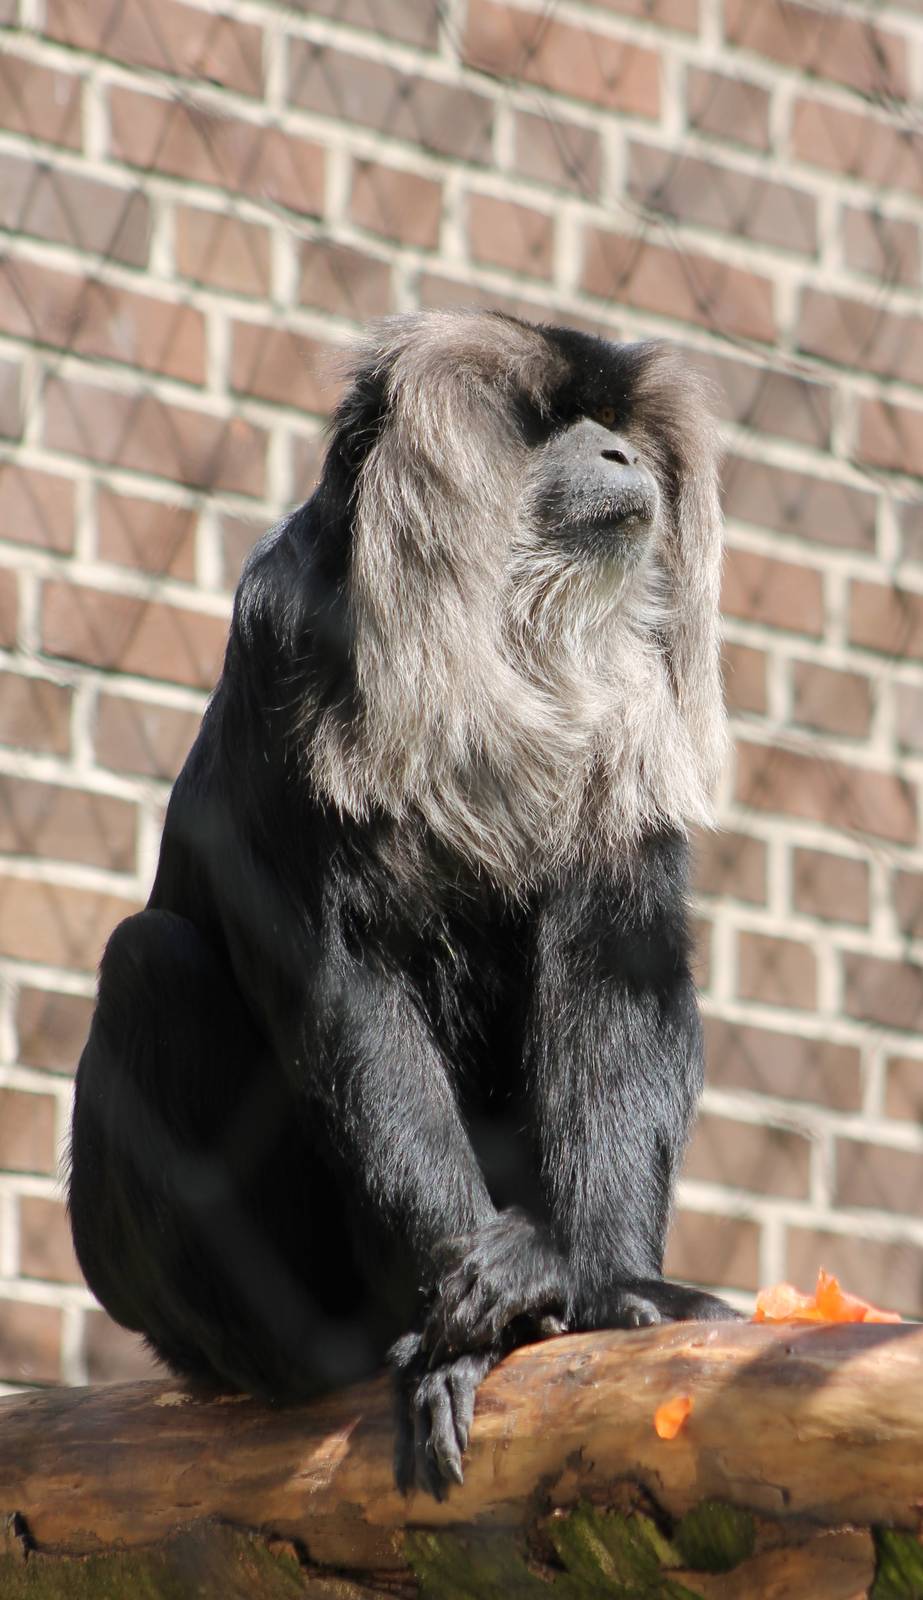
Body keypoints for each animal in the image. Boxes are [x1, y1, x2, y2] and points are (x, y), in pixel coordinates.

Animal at [68, 309, 735, 1499]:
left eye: (612, 421)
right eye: (553, 424)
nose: (618, 455)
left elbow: (622, 974)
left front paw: (602, 1291)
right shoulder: (284, 637)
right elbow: (346, 992)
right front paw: (469, 1332)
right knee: (149, 965)